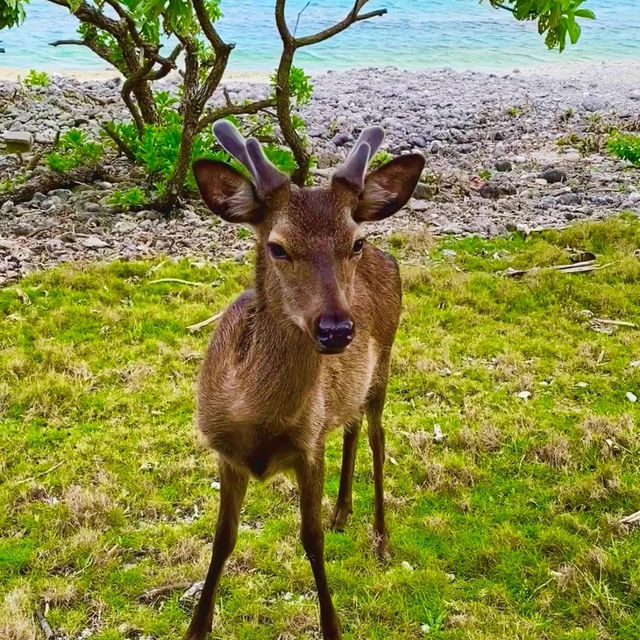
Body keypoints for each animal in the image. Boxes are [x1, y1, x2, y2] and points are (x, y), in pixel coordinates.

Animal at [185, 121, 424, 640]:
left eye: (352, 243)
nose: (336, 329)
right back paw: (342, 512)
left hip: (385, 363)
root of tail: (389, 254)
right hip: (344, 396)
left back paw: (380, 538)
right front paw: (197, 626)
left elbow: (310, 540)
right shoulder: (225, 453)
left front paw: (332, 626)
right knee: (349, 426)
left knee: (376, 437)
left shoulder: (307, 446)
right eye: (277, 246)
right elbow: (222, 539)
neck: (251, 414)